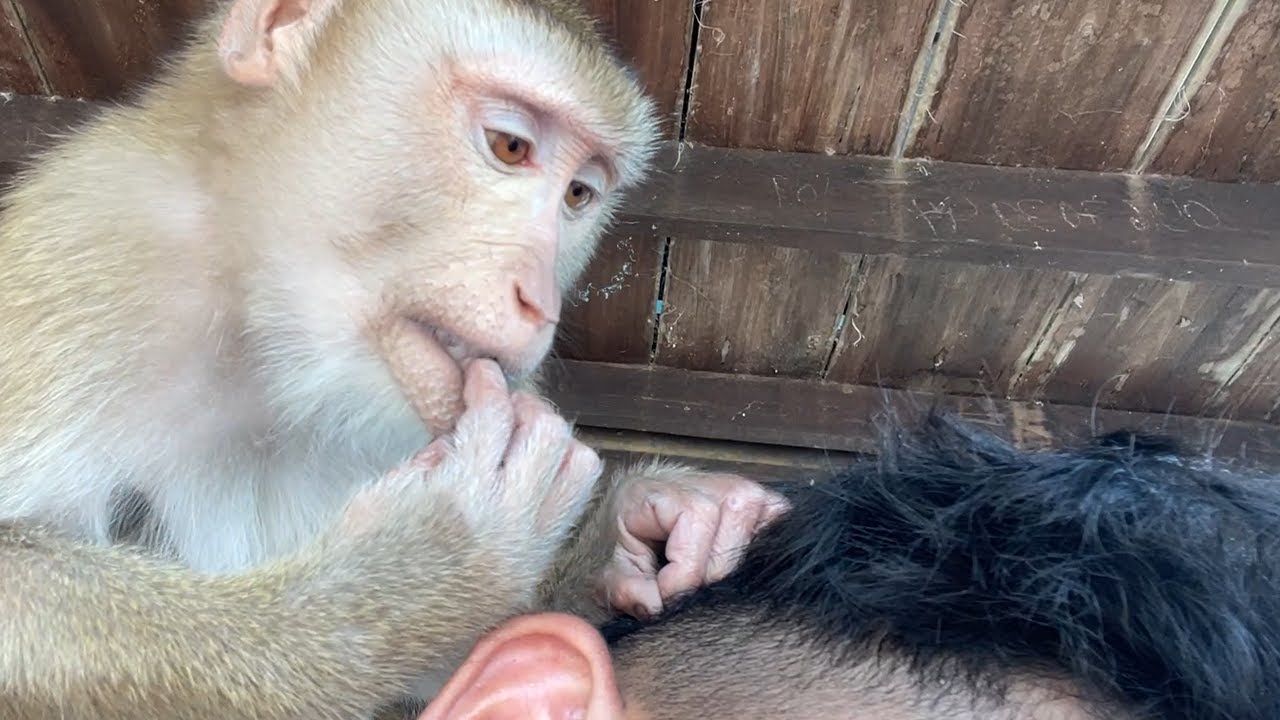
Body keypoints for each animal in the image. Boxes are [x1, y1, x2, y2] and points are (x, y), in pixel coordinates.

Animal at [0, 0, 788, 717]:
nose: (540, 301)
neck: (267, 340)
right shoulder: (96, 242)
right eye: (510, 147)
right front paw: (431, 569)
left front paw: (643, 530)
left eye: (577, 195)